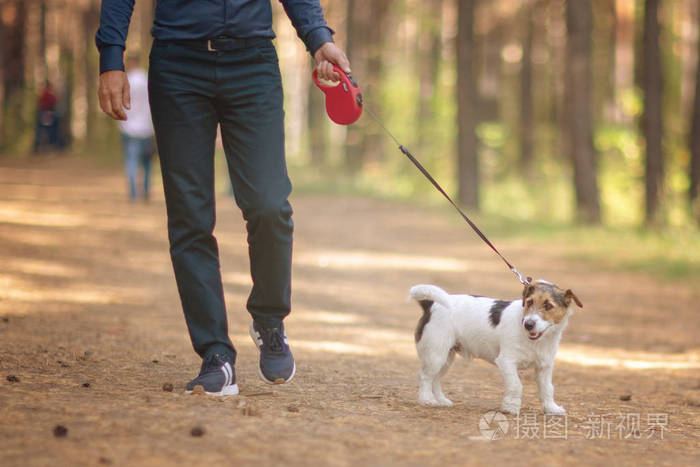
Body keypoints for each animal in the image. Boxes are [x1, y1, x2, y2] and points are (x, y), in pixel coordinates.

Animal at [408, 280, 584, 414]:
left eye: (548, 306)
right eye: (529, 302)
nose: (528, 324)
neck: (537, 340)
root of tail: (430, 305)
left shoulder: (544, 367)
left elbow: (547, 389)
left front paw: (551, 409)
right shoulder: (506, 361)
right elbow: (516, 385)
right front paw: (510, 407)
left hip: (445, 357)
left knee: (436, 379)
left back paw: (441, 400)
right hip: (435, 355)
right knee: (425, 377)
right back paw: (426, 399)